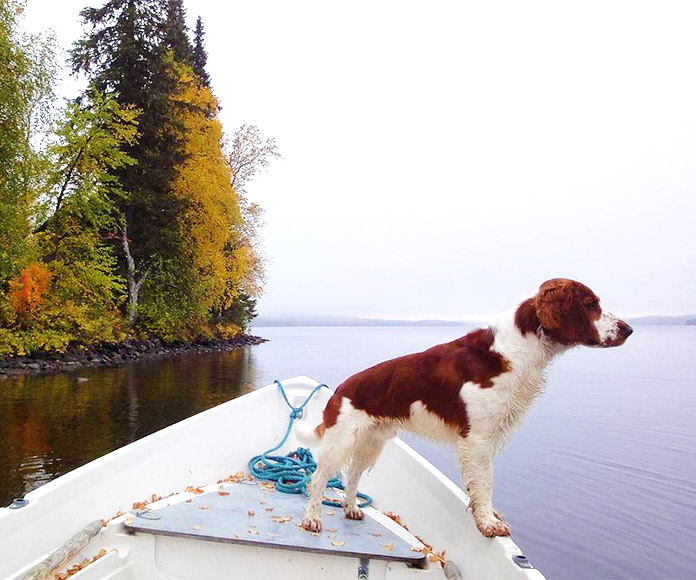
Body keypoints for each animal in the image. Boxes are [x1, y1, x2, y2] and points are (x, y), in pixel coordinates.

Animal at [296, 278, 632, 536]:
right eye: (590, 304)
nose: (628, 329)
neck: (515, 350)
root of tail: (340, 389)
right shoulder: (478, 439)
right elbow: (485, 484)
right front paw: (489, 523)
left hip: (372, 442)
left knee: (352, 476)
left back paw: (352, 508)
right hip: (340, 441)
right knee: (318, 479)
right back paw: (311, 519)